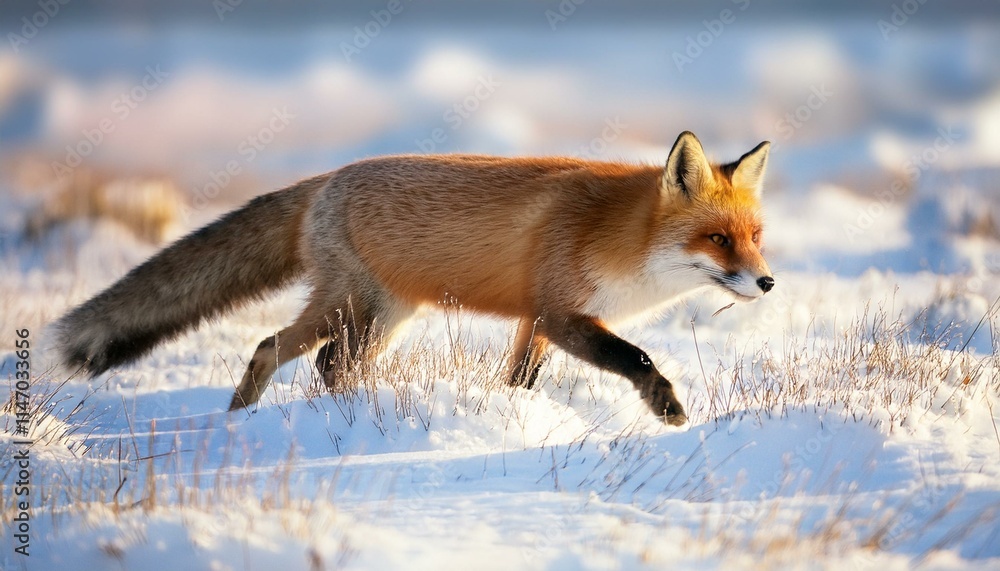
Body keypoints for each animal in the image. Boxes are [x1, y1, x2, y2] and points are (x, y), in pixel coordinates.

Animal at [54, 131, 774, 426]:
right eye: (717, 239)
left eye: (756, 238)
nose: (767, 284)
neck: (619, 237)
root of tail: (326, 179)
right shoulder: (562, 313)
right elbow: (638, 356)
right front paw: (666, 407)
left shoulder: (536, 321)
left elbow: (519, 379)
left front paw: (518, 415)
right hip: (345, 304)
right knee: (268, 349)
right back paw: (240, 422)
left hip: (384, 315)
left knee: (329, 365)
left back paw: (347, 414)